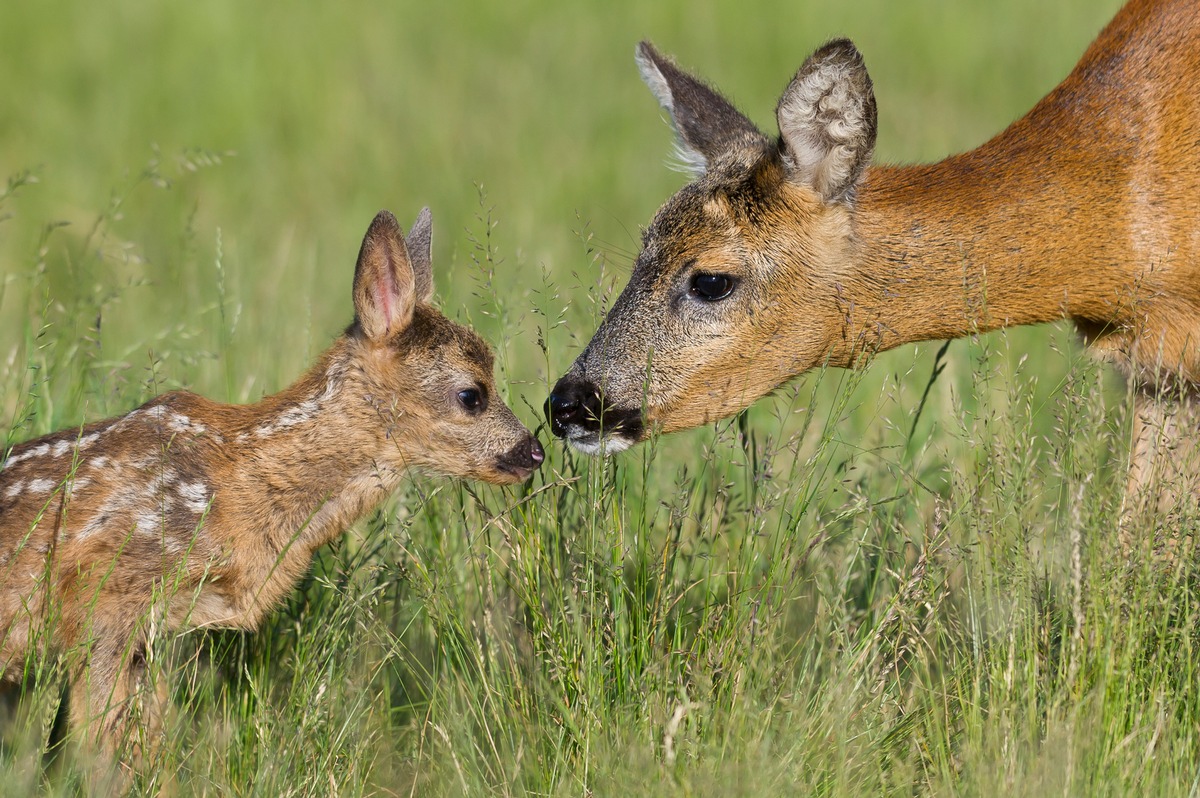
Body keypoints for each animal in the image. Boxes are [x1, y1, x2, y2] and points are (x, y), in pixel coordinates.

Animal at [0, 210, 544, 758]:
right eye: (472, 394)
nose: (534, 452)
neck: (238, 486)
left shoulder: (147, 632)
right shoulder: (103, 593)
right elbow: (99, 739)